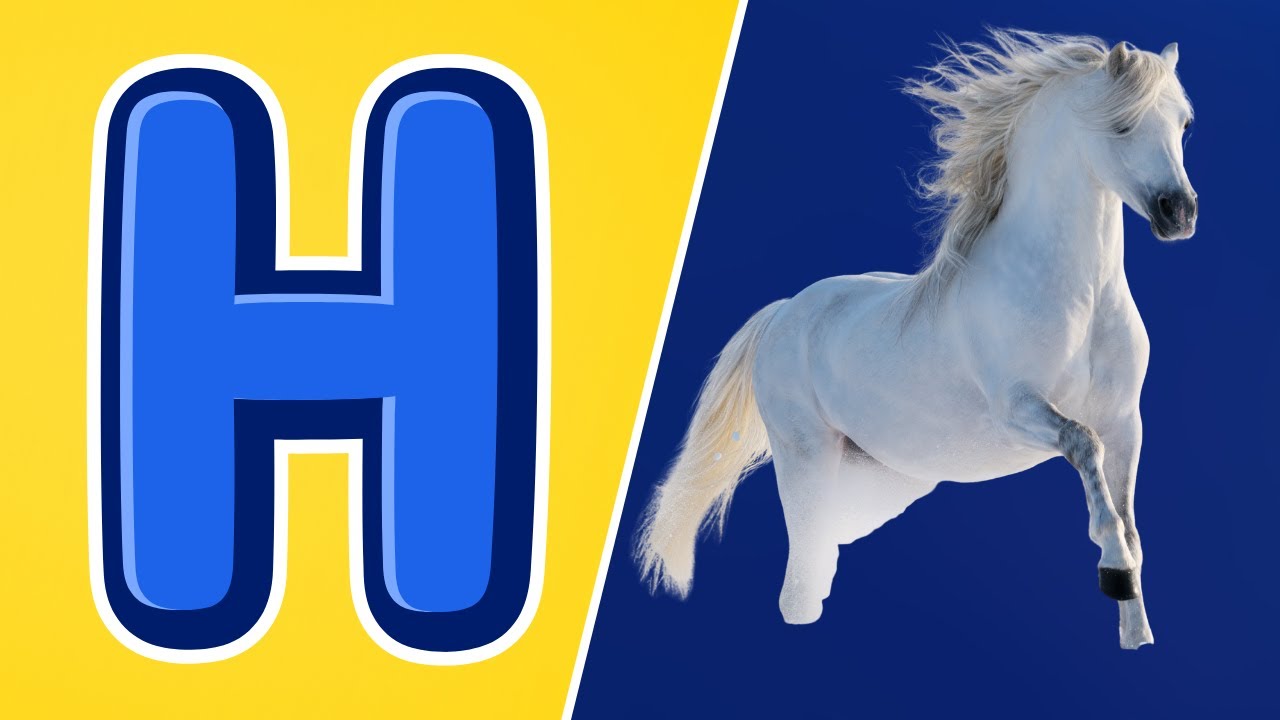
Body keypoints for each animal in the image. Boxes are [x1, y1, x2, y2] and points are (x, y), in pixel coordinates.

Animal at [635, 30, 1197, 650]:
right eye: (1122, 124)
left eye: (1184, 124)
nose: (1179, 213)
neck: (1081, 299)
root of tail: (784, 313)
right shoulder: (1019, 409)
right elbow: (1085, 448)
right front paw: (1113, 571)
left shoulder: (1126, 422)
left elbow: (1129, 518)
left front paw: (1136, 630)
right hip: (805, 459)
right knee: (801, 576)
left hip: (879, 479)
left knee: (824, 558)